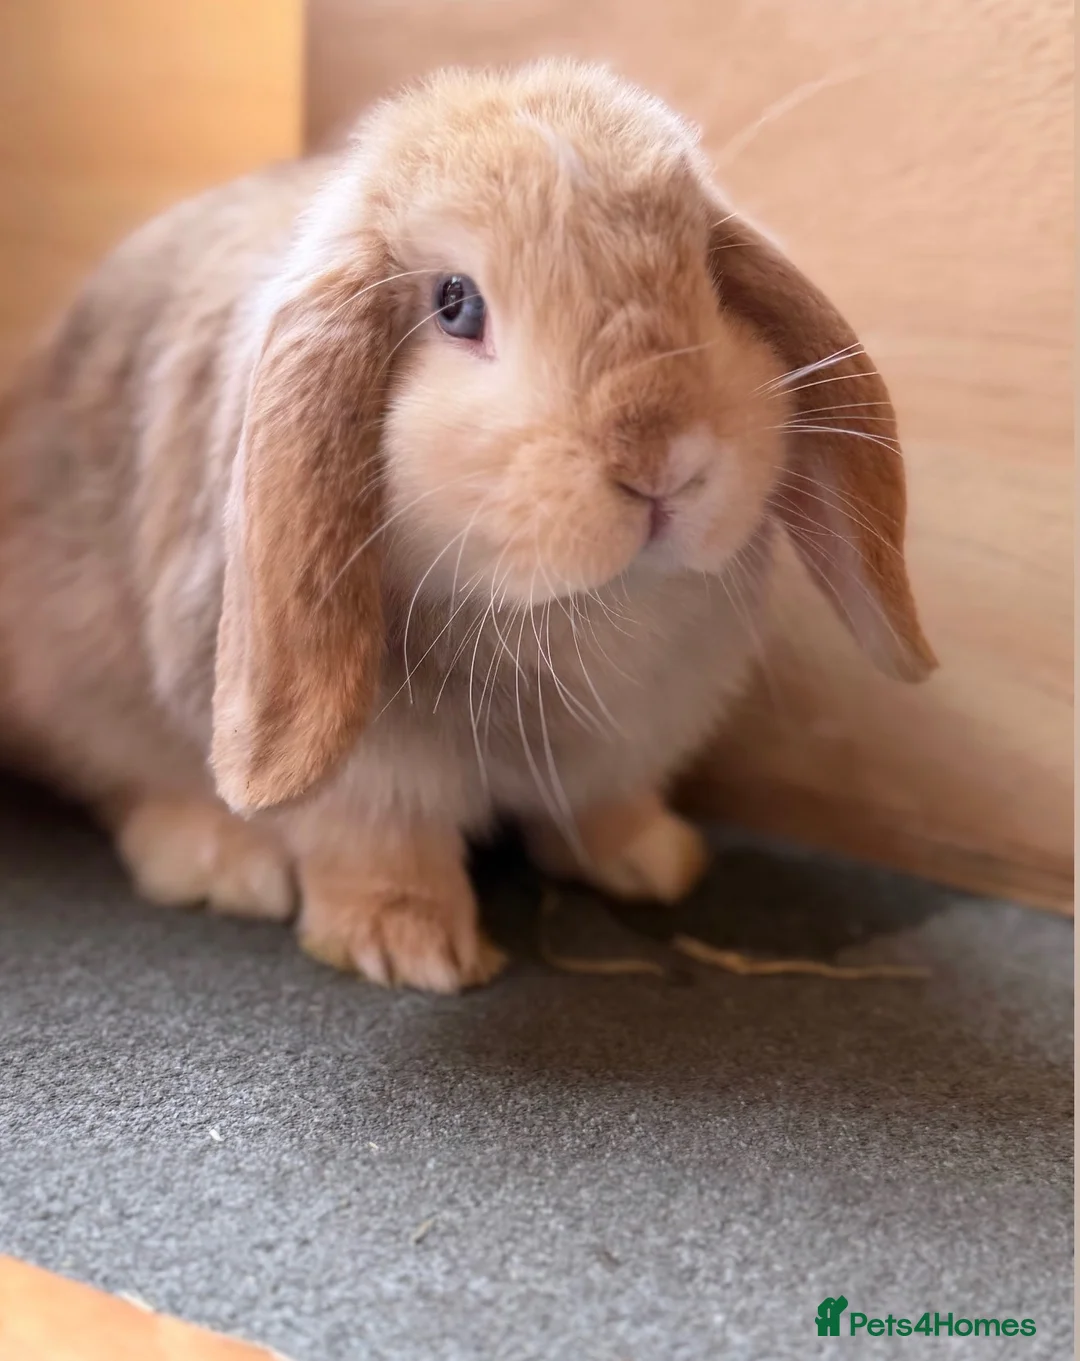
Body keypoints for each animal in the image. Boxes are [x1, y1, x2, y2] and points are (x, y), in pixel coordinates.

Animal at [0, 60, 936, 992]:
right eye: (456, 304)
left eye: (707, 273)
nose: (658, 462)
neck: (569, 607)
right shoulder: (369, 771)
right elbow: (376, 840)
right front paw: (407, 945)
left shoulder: (633, 732)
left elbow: (607, 802)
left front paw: (653, 860)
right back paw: (218, 859)